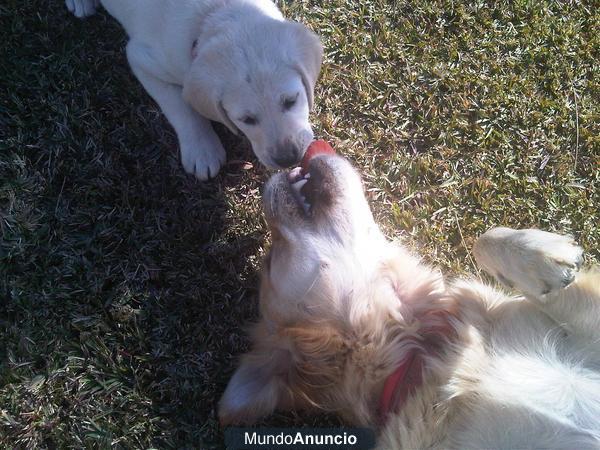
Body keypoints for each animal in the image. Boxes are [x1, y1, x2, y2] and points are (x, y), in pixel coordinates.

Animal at [64, 0, 324, 179]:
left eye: (291, 101)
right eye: (246, 119)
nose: (288, 158)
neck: (218, 12)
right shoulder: (141, 58)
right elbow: (180, 106)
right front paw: (202, 150)